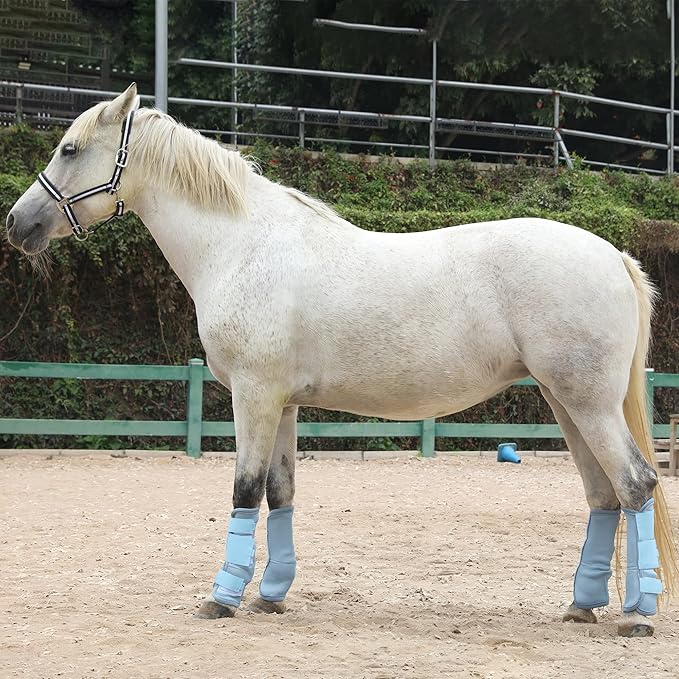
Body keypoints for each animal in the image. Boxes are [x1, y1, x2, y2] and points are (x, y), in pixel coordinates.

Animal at [6, 84, 677, 638]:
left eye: (70, 149)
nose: (17, 222)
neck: (242, 246)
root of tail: (614, 255)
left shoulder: (253, 395)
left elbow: (245, 489)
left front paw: (222, 599)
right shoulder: (281, 404)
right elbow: (280, 492)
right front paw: (271, 595)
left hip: (587, 405)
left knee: (636, 484)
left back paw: (638, 615)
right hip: (566, 403)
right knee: (604, 495)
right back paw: (583, 606)